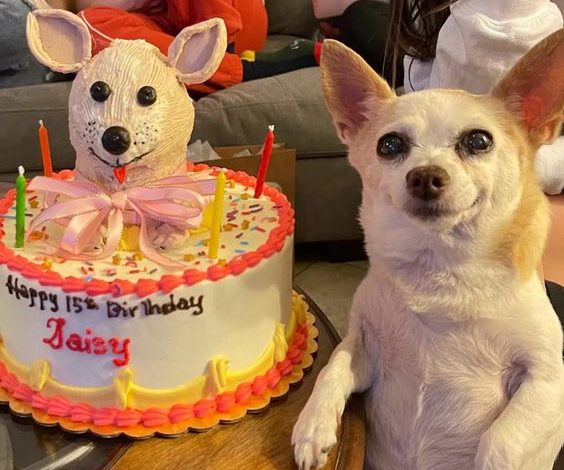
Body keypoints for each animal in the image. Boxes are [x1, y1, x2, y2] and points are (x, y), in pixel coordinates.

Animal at [294, 32, 560, 470]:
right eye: (389, 145)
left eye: (478, 141)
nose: (424, 176)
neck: (440, 266)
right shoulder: (362, 347)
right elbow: (332, 368)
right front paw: (312, 427)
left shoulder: (546, 380)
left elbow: (501, 441)